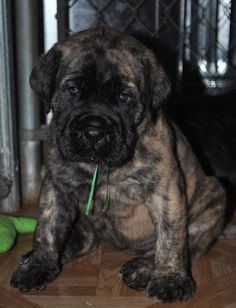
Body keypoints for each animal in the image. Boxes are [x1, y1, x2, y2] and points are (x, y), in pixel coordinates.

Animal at [10, 27, 226, 304]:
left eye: (124, 96)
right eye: (73, 90)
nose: (93, 132)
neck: (100, 167)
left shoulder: (165, 190)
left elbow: (171, 238)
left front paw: (169, 279)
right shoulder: (56, 185)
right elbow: (46, 227)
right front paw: (37, 265)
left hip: (214, 197)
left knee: (191, 244)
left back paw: (144, 267)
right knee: (86, 236)